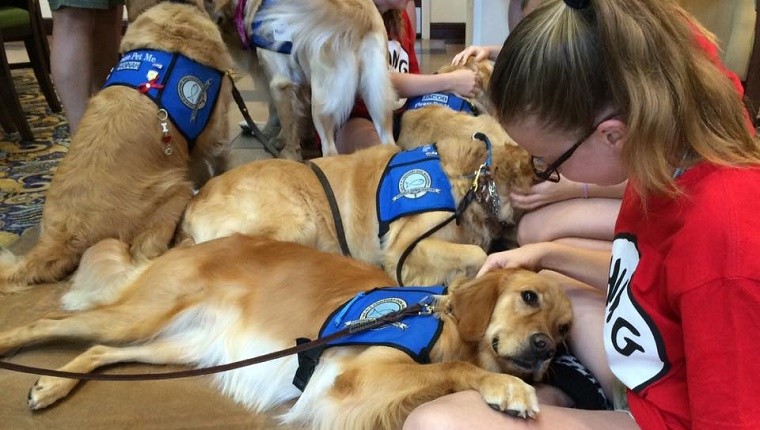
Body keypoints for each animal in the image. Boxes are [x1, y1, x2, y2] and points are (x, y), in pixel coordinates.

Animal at [0, 237, 568, 428]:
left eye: (564, 331)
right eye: (528, 297)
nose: (546, 350)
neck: (441, 320)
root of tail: (191, 244)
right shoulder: (351, 382)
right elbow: (455, 369)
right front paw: (506, 387)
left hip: (182, 345)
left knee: (100, 350)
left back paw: (51, 384)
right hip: (142, 314)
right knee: (49, 323)